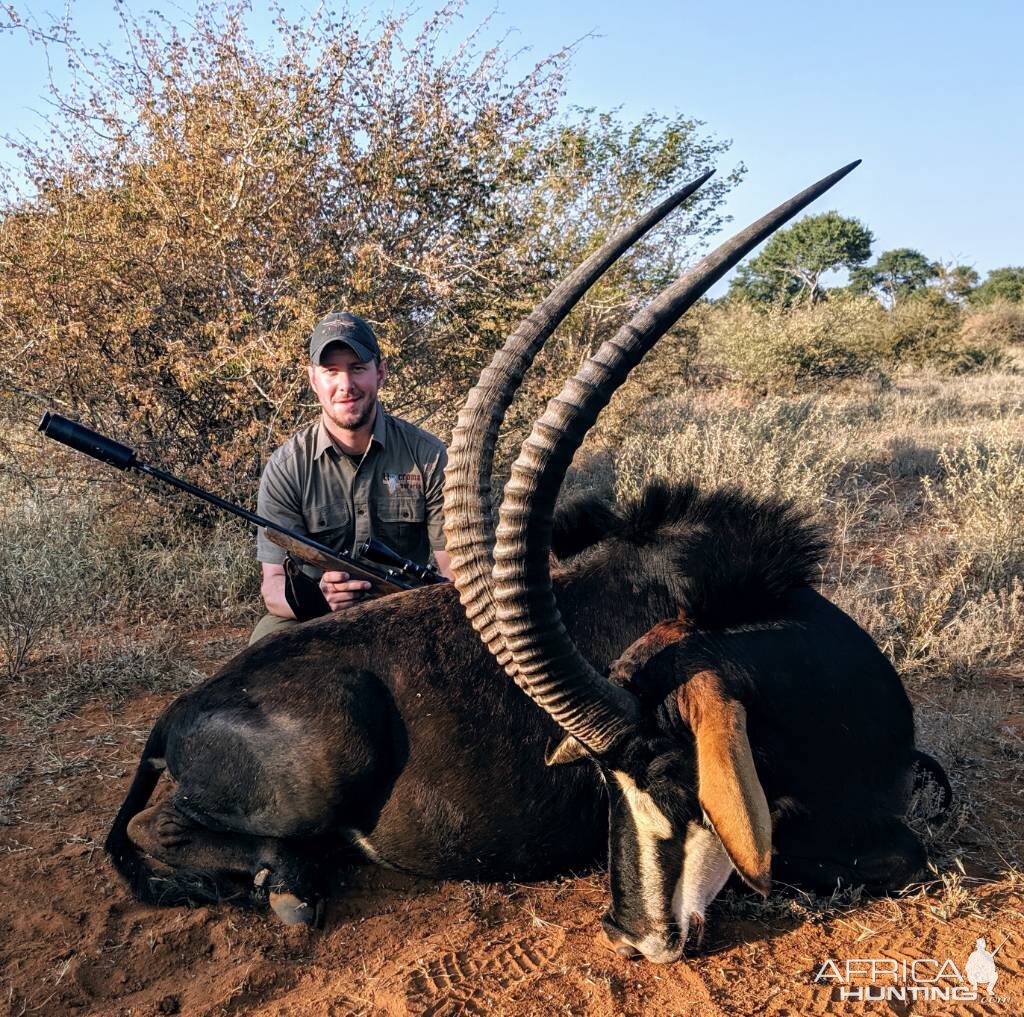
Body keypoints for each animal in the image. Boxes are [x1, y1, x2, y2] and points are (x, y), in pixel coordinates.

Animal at [103, 160, 942, 950]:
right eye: (618, 783)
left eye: (677, 777)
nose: (634, 935)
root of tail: (182, 708)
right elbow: (895, 856)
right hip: (333, 752)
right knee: (159, 828)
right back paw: (287, 881)